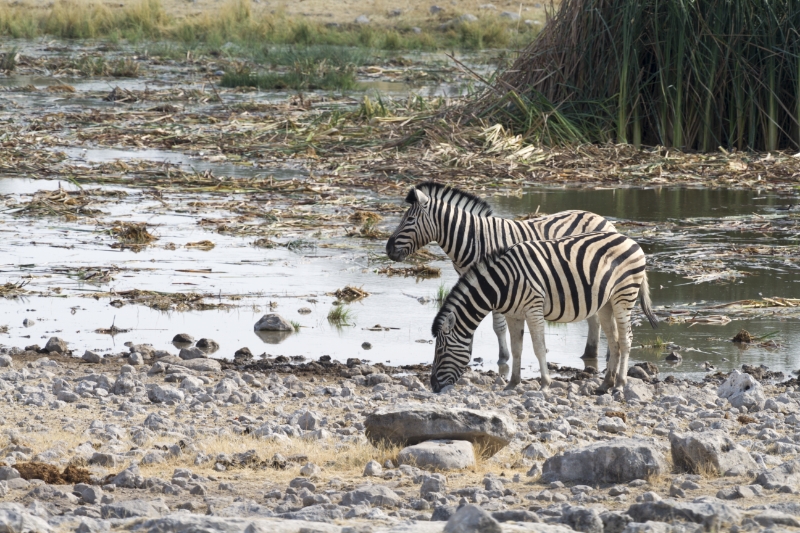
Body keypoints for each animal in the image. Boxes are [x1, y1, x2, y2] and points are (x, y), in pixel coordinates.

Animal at [386, 182, 617, 380]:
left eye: (409, 220)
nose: (388, 249)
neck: (474, 238)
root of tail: (603, 219)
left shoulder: (497, 281)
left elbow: (498, 326)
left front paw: (503, 357)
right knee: (594, 317)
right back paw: (590, 354)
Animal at [429, 231, 658, 392]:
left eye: (440, 351)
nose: (433, 386)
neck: (503, 283)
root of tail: (630, 240)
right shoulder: (513, 315)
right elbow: (516, 349)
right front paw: (512, 383)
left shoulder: (533, 308)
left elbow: (539, 348)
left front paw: (545, 383)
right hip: (606, 303)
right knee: (614, 341)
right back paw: (605, 385)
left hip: (624, 295)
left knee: (626, 339)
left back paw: (619, 384)